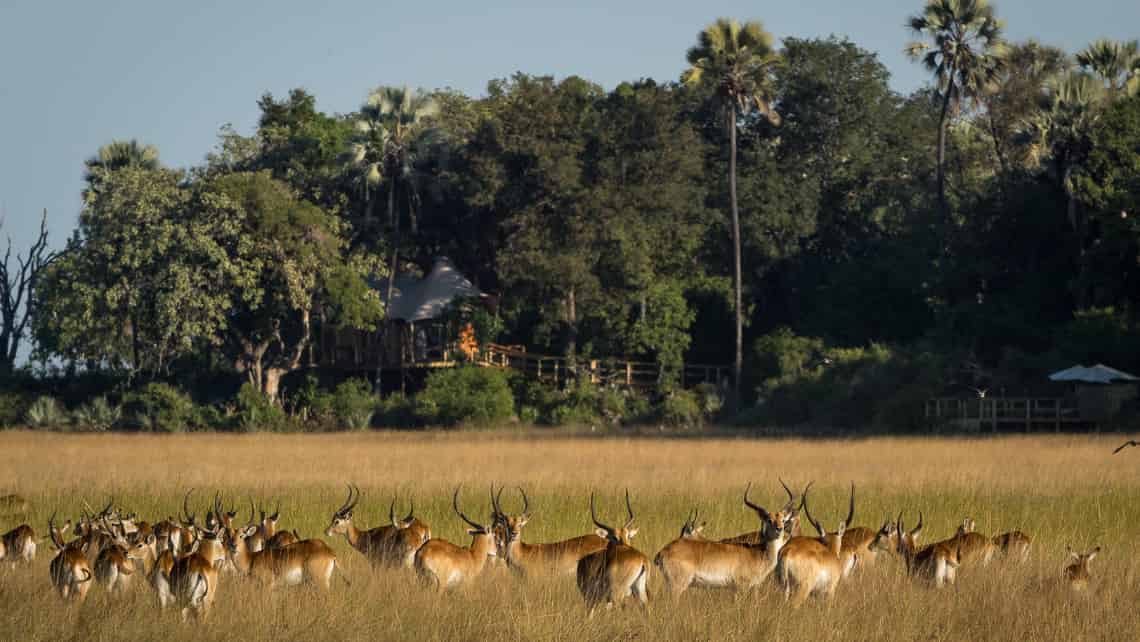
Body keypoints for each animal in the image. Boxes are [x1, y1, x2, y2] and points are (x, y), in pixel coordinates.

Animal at [652, 485, 793, 602]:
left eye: (783, 519)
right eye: (769, 519)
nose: (780, 529)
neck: (758, 553)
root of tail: (662, 552)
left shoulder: (736, 589)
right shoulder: (742, 587)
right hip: (677, 586)